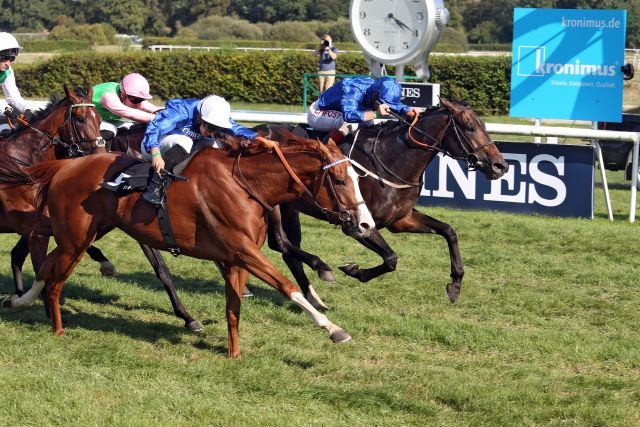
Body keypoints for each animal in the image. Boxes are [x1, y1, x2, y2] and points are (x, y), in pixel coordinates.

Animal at [1, 137, 376, 358]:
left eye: (358, 179)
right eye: (339, 180)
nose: (366, 224)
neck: (247, 186)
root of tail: (64, 165)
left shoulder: (235, 258)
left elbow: (233, 307)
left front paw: (233, 353)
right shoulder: (244, 252)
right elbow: (287, 287)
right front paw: (334, 330)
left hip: (86, 234)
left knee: (47, 266)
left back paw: (19, 301)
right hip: (76, 238)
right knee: (54, 278)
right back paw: (57, 328)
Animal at [255, 99, 510, 308]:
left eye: (484, 125)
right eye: (468, 126)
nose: (501, 165)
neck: (391, 159)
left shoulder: (401, 219)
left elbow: (449, 231)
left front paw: (455, 285)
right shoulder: (357, 225)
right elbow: (391, 259)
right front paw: (354, 270)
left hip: (290, 208)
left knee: (287, 249)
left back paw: (313, 297)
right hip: (274, 206)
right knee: (280, 242)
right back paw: (321, 272)